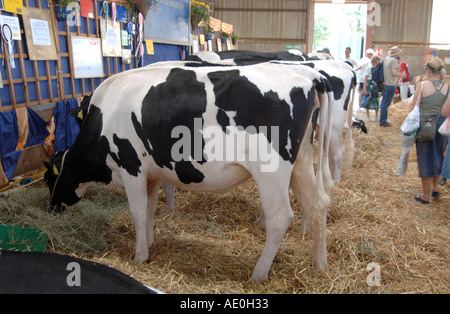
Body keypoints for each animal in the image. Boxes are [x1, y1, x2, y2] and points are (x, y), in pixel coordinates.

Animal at [44, 62, 334, 282]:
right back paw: (320, 264)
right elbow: (150, 208)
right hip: (301, 162)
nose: (51, 209)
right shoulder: (151, 174)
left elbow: (137, 212)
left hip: (271, 169)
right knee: (317, 204)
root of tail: (308, 73)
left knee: (280, 218)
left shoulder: (131, 166)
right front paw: (150, 242)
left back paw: (258, 274)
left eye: (49, 179)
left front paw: (140, 256)